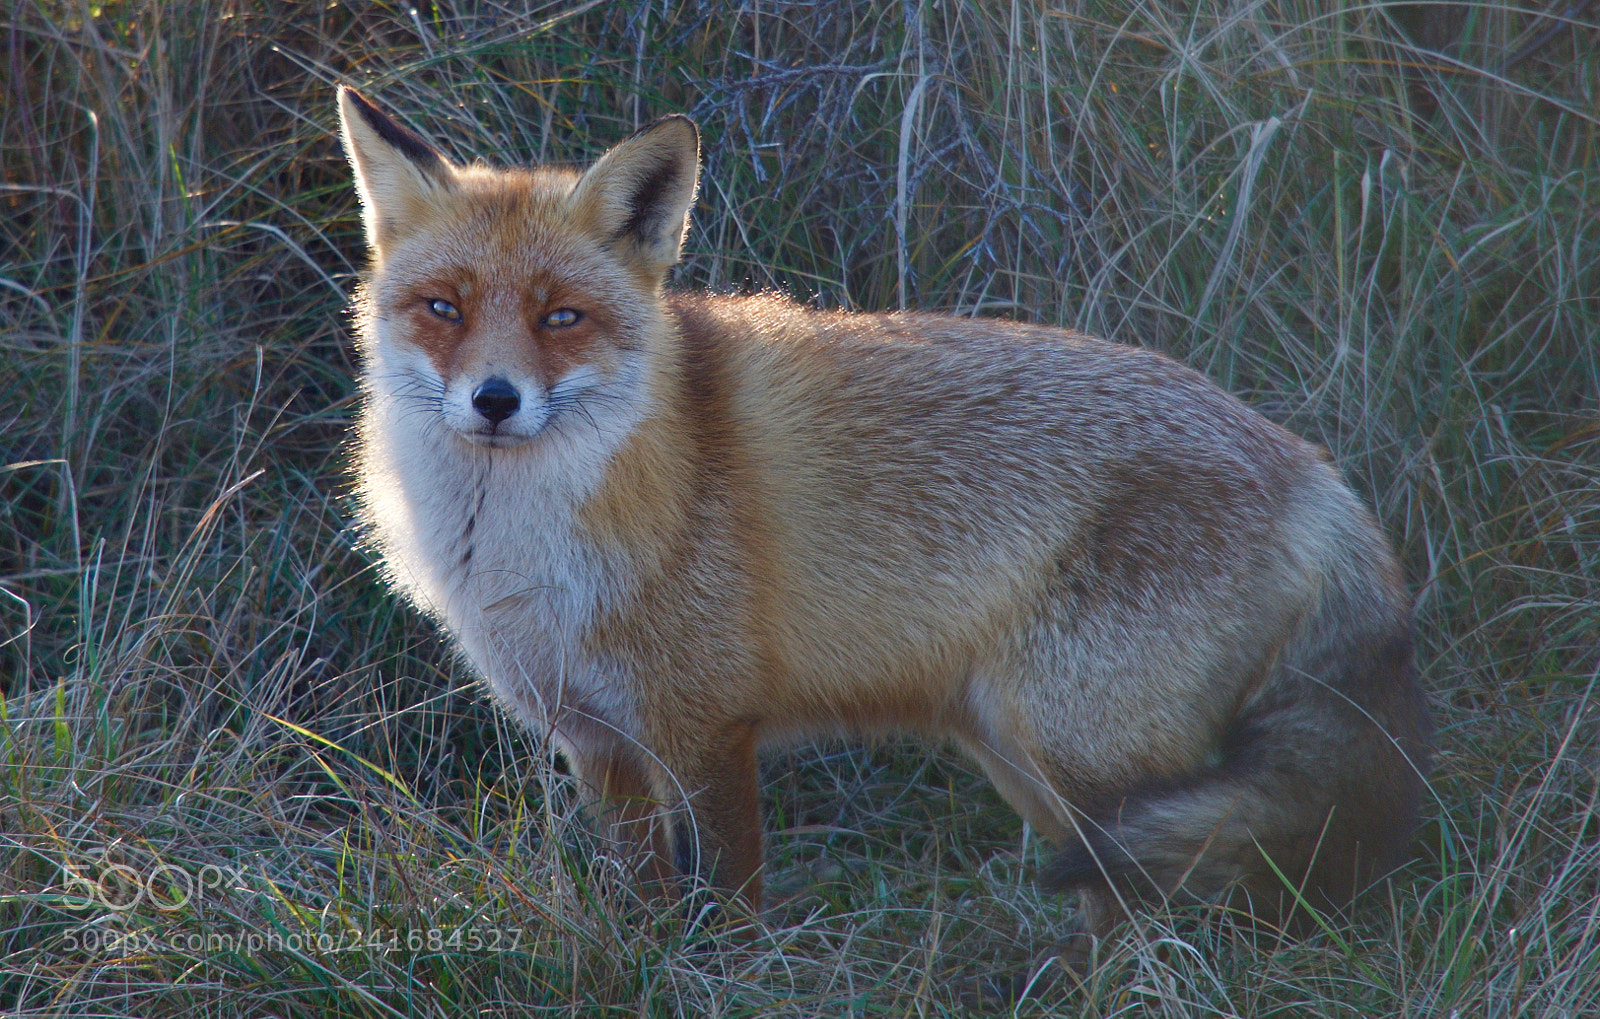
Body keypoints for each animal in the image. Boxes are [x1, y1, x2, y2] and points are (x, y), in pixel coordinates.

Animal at [335, 85, 1432, 948]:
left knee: (1154, 911)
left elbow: (729, 908)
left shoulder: (706, 730)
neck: (532, 550)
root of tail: (1318, 475)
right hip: (1022, 753)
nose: (493, 400)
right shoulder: (597, 741)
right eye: (442, 307)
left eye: (561, 316)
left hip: (1084, 757)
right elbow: (640, 902)